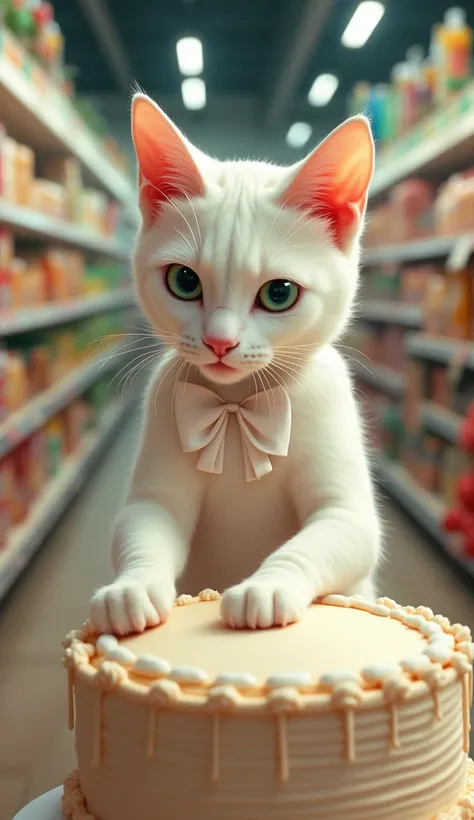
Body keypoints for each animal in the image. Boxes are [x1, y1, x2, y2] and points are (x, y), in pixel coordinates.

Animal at [90, 94, 382, 636]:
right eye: (184, 281)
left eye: (279, 293)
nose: (219, 341)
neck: (237, 407)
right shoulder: (157, 475)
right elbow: (144, 522)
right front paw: (132, 587)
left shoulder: (347, 509)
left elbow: (333, 532)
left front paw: (266, 586)